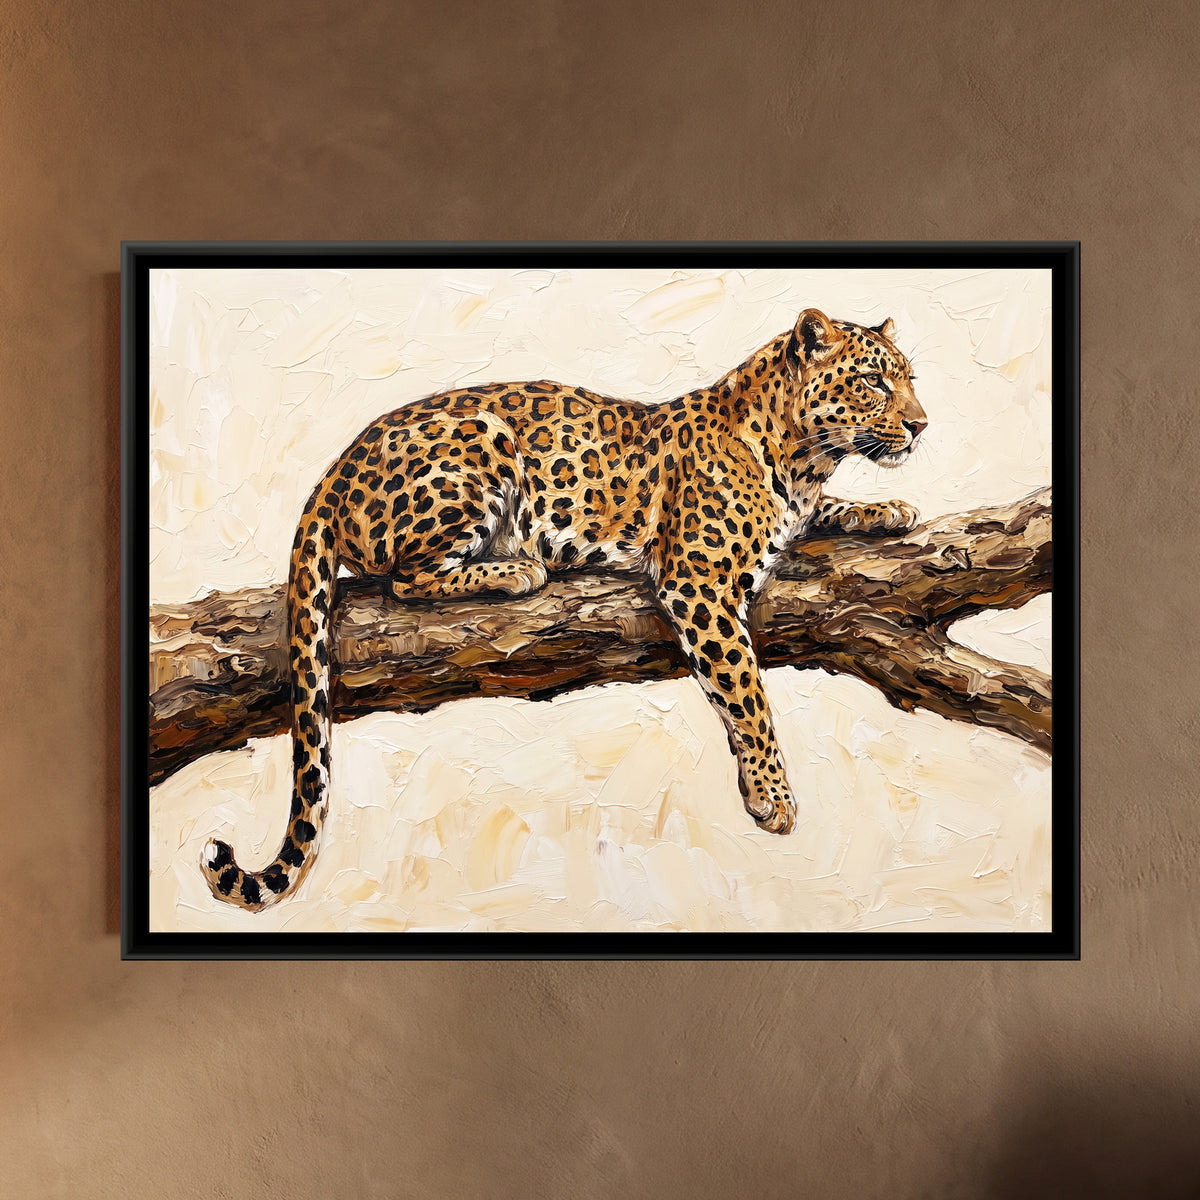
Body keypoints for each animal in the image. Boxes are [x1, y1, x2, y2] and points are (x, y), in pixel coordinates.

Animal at [201, 307, 928, 910]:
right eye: (873, 381)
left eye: (910, 379)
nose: (922, 426)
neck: (804, 459)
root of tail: (333, 471)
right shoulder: (698, 579)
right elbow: (746, 693)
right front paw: (772, 796)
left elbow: (822, 517)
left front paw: (886, 509)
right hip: (482, 441)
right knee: (405, 578)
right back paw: (518, 567)